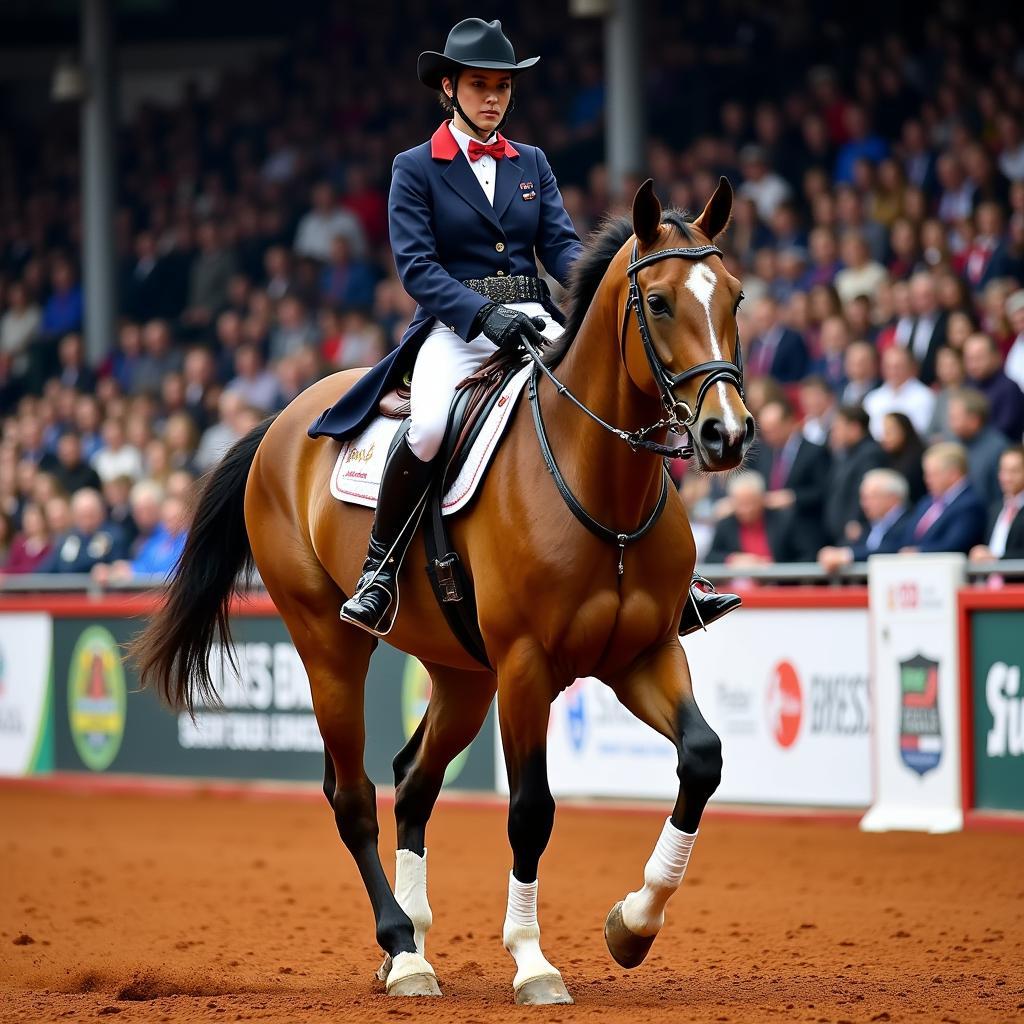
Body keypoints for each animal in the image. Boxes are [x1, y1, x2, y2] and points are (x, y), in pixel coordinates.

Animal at [134, 178, 753, 1007]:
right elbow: (530, 811)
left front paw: (633, 923)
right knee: (354, 796)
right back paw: (402, 949)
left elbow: (702, 758)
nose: (727, 434)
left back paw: (416, 940)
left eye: (736, 297)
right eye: (656, 302)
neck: (600, 482)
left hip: (463, 674)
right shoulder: (526, 668)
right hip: (330, 648)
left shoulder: (642, 654)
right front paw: (533, 961)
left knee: (412, 781)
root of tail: (284, 420)